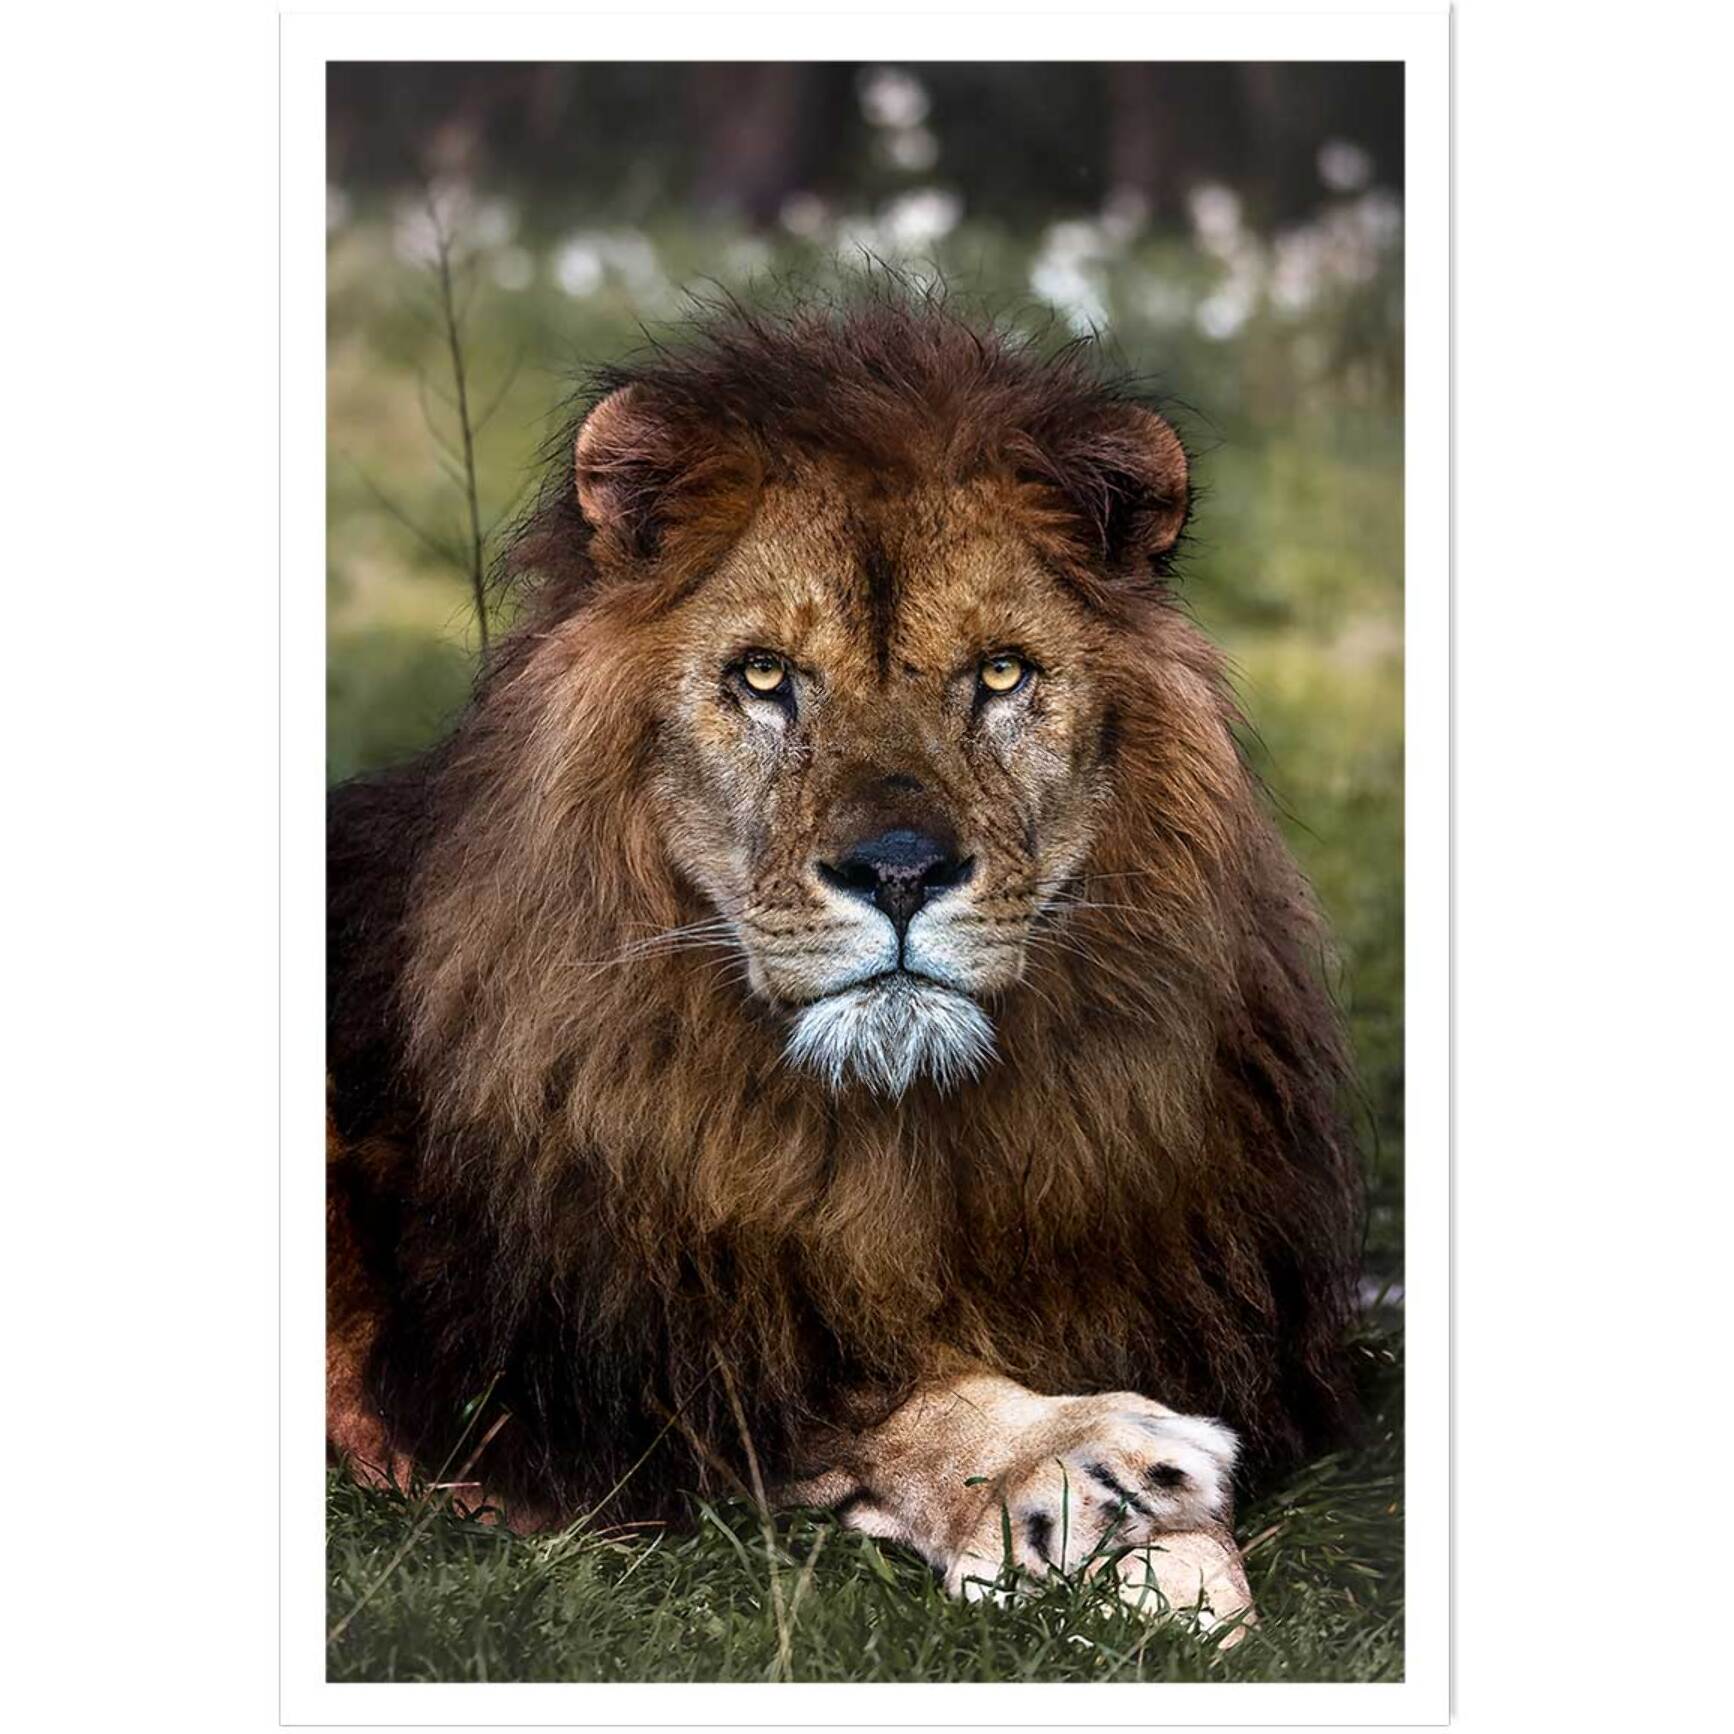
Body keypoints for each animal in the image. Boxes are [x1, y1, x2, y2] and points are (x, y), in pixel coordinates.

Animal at [327, 289, 1363, 1626]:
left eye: (1001, 673)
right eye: (766, 676)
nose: (901, 870)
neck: (893, 1133)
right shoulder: (542, 1375)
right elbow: (857, 1400)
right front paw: (1086, 1476)